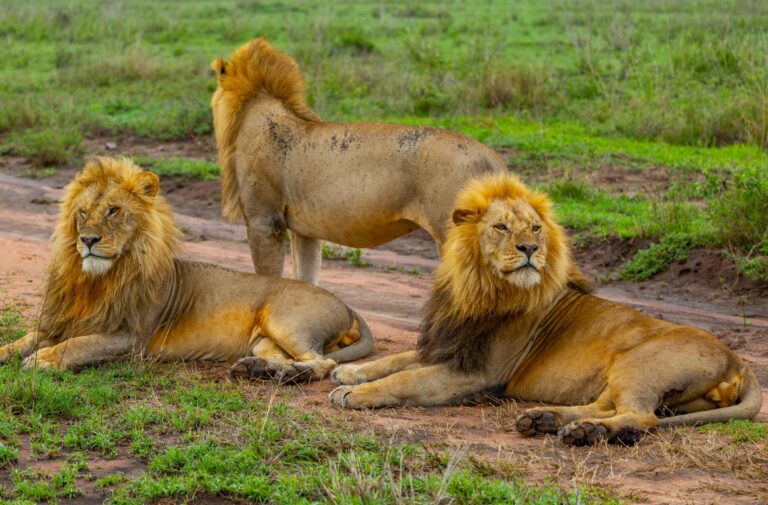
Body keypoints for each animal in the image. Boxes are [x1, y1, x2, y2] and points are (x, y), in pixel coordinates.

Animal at [0, 157, 372, 381]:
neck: (96, 280)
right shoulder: (60, 322)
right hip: (264, 340)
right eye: (82, 212)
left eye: (113, 211)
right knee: (286, 357)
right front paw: (12, 353)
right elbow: (23, 340)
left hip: (287, 321)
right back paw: (256, 368)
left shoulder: (130, 338)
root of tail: (347, 304)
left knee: (324, 361)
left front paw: (42, 360)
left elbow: (78, 345)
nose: (87, 239)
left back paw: (295, 375)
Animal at [328, 174, 762, 446]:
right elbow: (397, 360)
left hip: (638, 363)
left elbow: (405, 379)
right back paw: (548, 421)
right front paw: (350, 372)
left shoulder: (478, 375)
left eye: (535, 228)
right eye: (502, 227)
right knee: (607, 405)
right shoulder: (450, 346)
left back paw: (586, 433)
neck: (478, 288)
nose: (530, 248)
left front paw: (353, 392)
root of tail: (739, 361)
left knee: (642, 416)